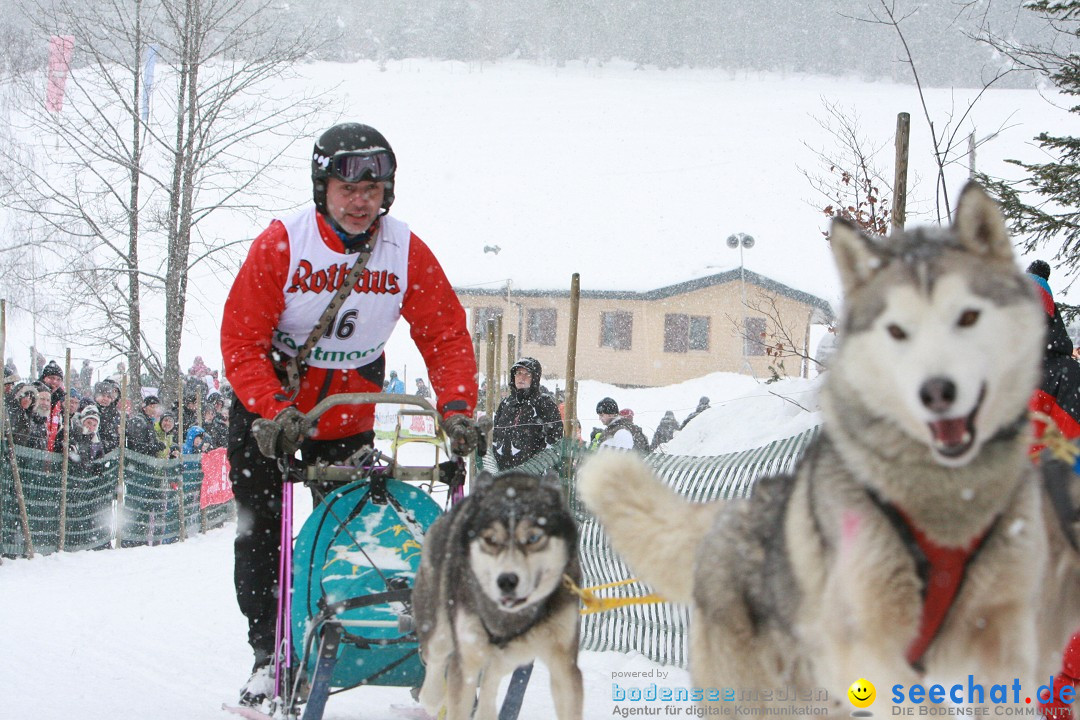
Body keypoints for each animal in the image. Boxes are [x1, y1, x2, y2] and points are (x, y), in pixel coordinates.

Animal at [412, 470, 583, 716]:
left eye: (533, 538)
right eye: (491, 539)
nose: (507, 581)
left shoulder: (564, 664)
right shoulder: (466, 661)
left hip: (510, 656)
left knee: (491, 681)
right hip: (439, 629)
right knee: (435, 664)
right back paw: (433, 698)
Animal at [583, 183, 1080, 712]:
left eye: (967, 316)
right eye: (897, 330)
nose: (937, 392)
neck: (943, 504)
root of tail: (731, 512)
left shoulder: (1003, 641)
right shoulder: (873, 645)